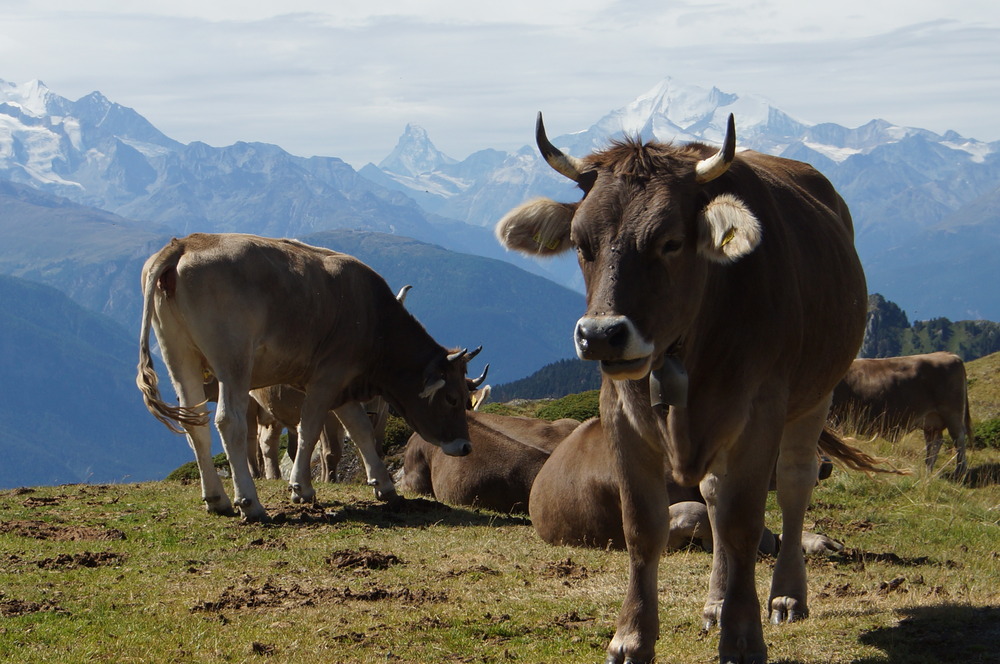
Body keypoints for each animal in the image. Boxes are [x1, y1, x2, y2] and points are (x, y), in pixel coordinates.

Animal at [138, 235, 476, 524]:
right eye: (453, 398)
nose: (465, 447)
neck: (374, 319)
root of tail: (184, 244)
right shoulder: (327, 377)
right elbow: (310, 429)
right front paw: (301, 488)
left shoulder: (344, 385)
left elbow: (361, 430)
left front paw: (385, 486)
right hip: (233, 360)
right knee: (229, 422)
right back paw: (250, 503)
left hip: (178, 355)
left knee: (194, 423)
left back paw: (216, 499)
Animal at [498, 114, 868, 664]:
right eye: (581, 244)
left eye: (670, 241)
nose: (601, 335)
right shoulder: (621, 413)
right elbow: (643, 528)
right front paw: (631, 636)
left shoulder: (761, 410)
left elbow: (743, 524)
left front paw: (743, 637)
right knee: (713, 493)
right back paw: (715, 602)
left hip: (815, 393)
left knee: (795, 482)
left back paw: (786, 596)